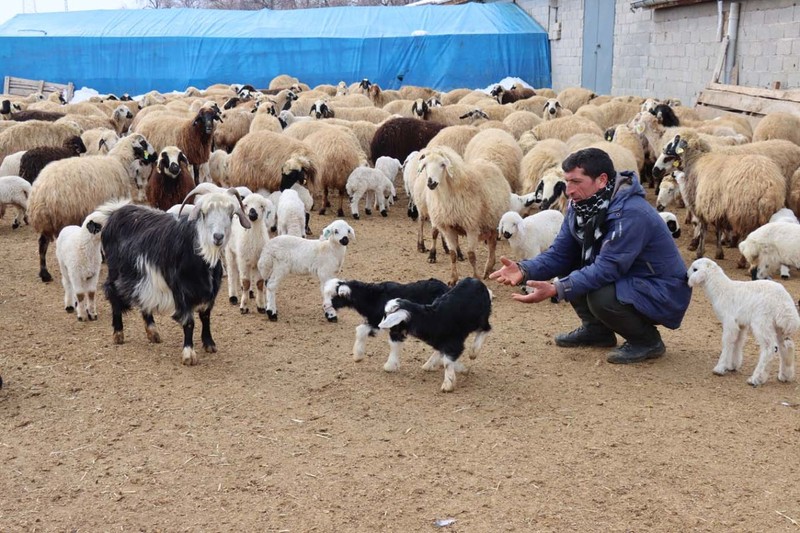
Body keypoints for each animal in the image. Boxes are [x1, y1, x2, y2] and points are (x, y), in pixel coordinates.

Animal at [684, 256, 796, 384]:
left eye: (695, 269)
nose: (686, 275)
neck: (721, 290)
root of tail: (784, 303)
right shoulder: (740, 323)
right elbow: (738, 342)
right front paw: (732, 365)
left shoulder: (729, 321)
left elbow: (727, 342)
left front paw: (720, 368)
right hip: (778, 326)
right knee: (786, 346)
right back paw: (785, 375)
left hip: (762, 321)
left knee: (769, 348)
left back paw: (756, 378)